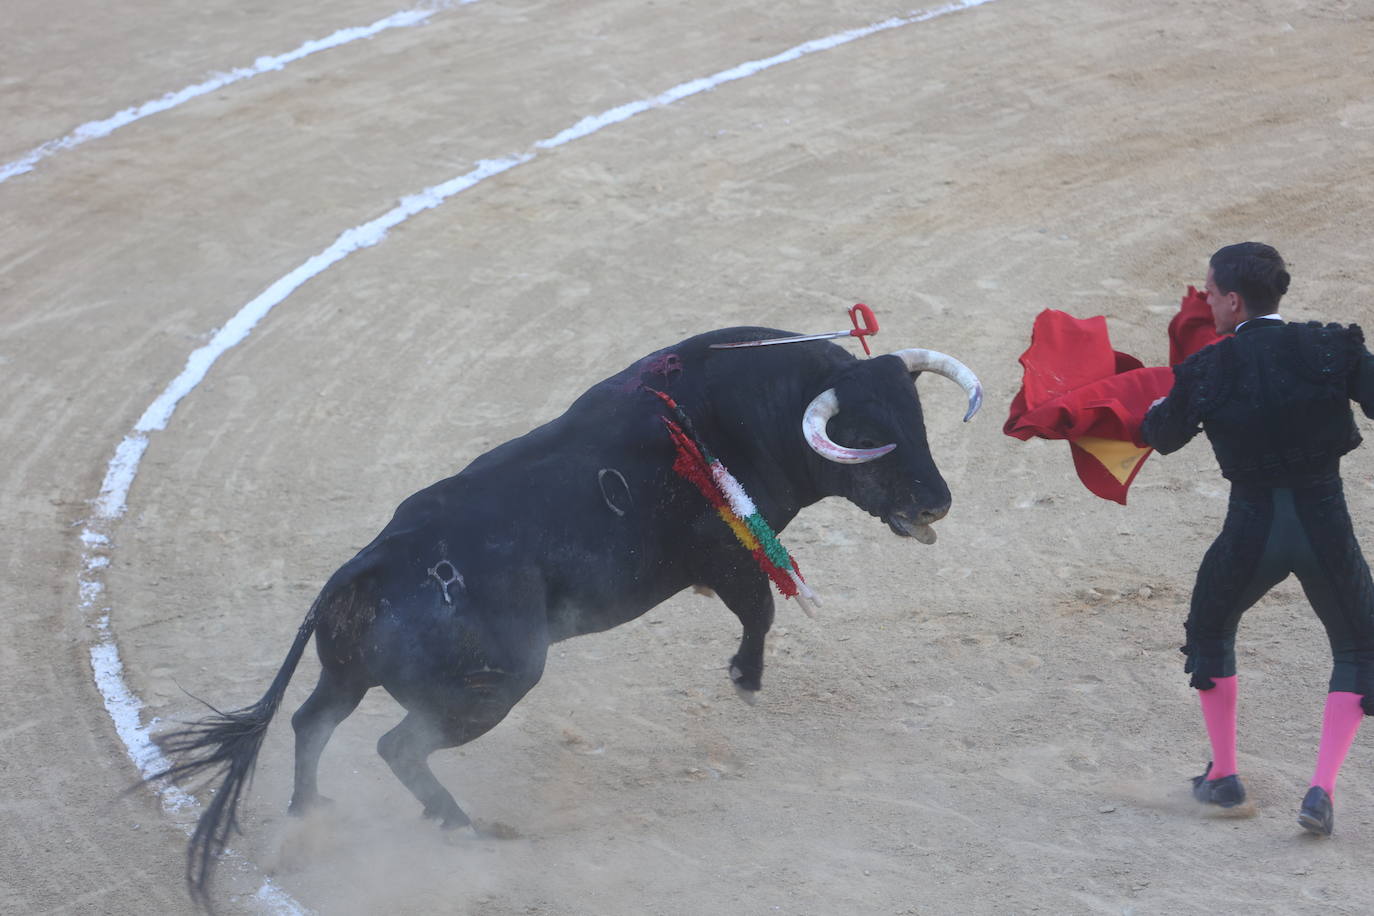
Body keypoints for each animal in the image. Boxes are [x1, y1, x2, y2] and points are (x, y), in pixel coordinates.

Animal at [155, 325, 983, 900]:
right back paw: (463, 830)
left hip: (349, 672)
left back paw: (310, 818)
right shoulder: (723, 556)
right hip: (495, 686)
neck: (741, 412)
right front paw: (745, 680)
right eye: (864, 434)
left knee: (311, 724)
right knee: (397, 747)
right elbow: (759, 614)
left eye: (918, 420)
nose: (937, 502)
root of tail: (371, 562)